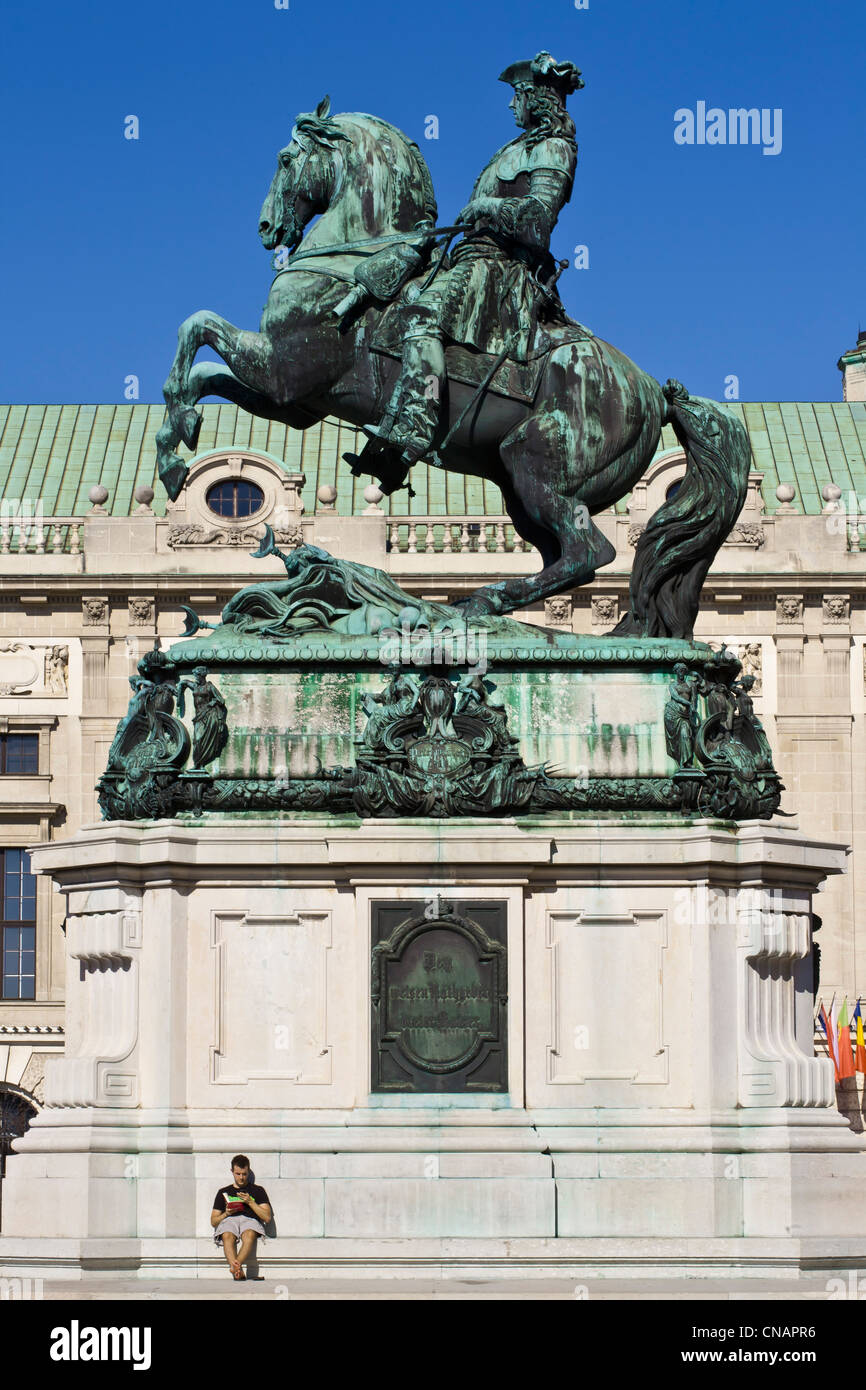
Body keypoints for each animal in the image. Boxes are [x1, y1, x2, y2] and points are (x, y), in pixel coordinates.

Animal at [157, 99, 750, 636]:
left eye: (285, 158)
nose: (267, 228)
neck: (352, 261)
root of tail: (654, 390)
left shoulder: (284, 372)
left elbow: (196, 326)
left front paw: (172, 448)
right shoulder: (293, 401)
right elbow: (202, 370)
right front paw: (178, 438)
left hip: (533, 463)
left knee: (590, 550)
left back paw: (482, 603)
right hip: (519, 489)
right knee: (564, 555)